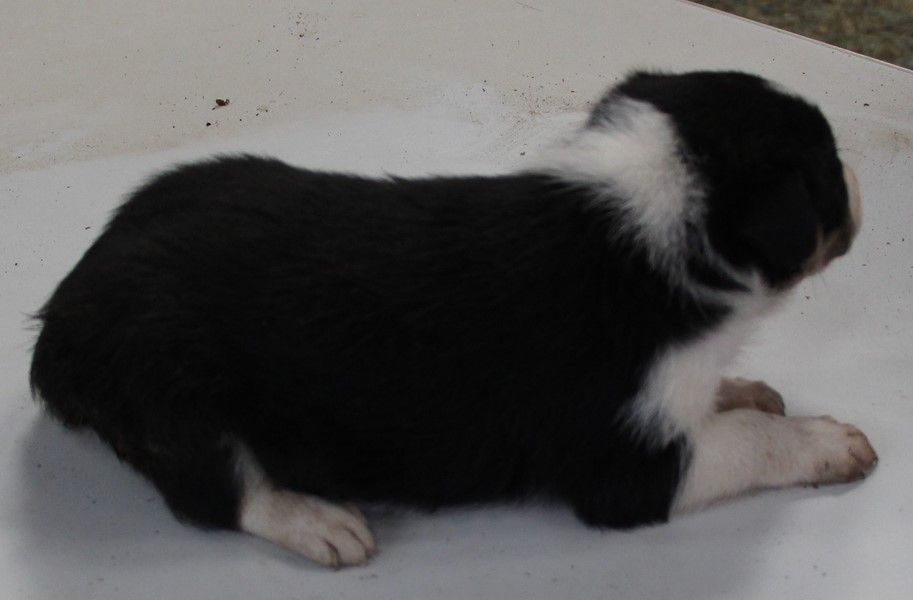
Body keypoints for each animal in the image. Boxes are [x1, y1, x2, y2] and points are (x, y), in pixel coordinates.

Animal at [30, 71, 875, 568]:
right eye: (827, 172)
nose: (859, 180)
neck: (640, 229)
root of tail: (60, 320)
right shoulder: (624, 468)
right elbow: (751, 441)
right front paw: (830, 442)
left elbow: (725, 405)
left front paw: (741, 388)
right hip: (171, 402)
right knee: (214, 495)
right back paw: (317, 520)